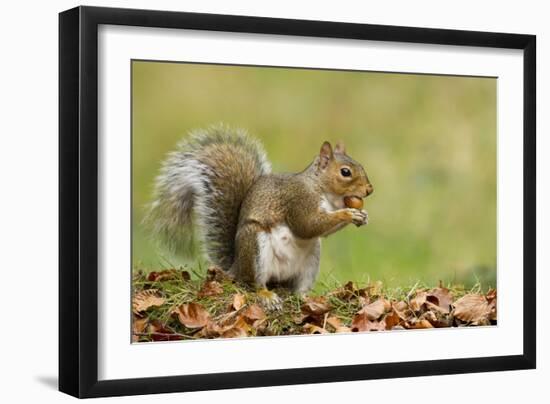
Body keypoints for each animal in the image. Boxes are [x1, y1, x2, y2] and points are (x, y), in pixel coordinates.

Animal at [146, 124, 376, 308]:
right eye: (345, 172)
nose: (369, 190)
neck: (322, 190)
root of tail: (236, 268)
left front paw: (362, 215)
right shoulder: (298, 201)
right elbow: (308, 226)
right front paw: (348, 213)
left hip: (311, 260)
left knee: (297, 289)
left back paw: (305, 298)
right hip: (255, 245)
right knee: (253, 284)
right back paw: (266, 295)